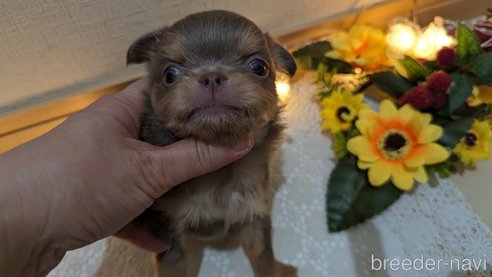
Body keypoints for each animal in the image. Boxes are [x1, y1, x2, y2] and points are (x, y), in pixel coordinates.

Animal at [127, 9, 296, 274]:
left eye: (259, 67)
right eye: (169, 75)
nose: (212, 76)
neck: (219, 175)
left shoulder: (255, 216)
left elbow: (264, 261)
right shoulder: (171, 237)